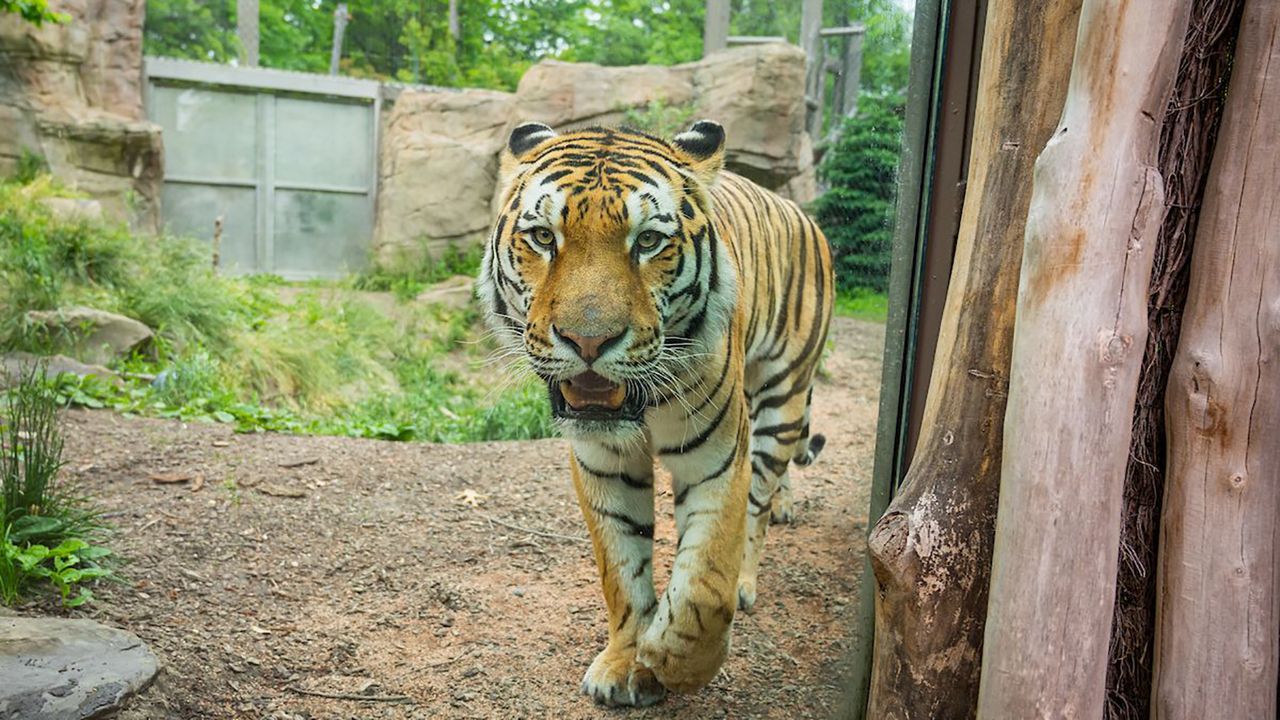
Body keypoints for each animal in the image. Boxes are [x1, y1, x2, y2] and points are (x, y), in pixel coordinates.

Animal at [476, 120, 834, 702]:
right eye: (544, 237)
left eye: (647, 241)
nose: (588, 340)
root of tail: (797, 209)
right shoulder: (604, 462)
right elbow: (621, 569)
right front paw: (626, 661)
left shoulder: (716, 459)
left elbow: (705, 580)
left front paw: (674, 660)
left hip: (783, 394)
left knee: (757, 501)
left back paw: (748, 576)